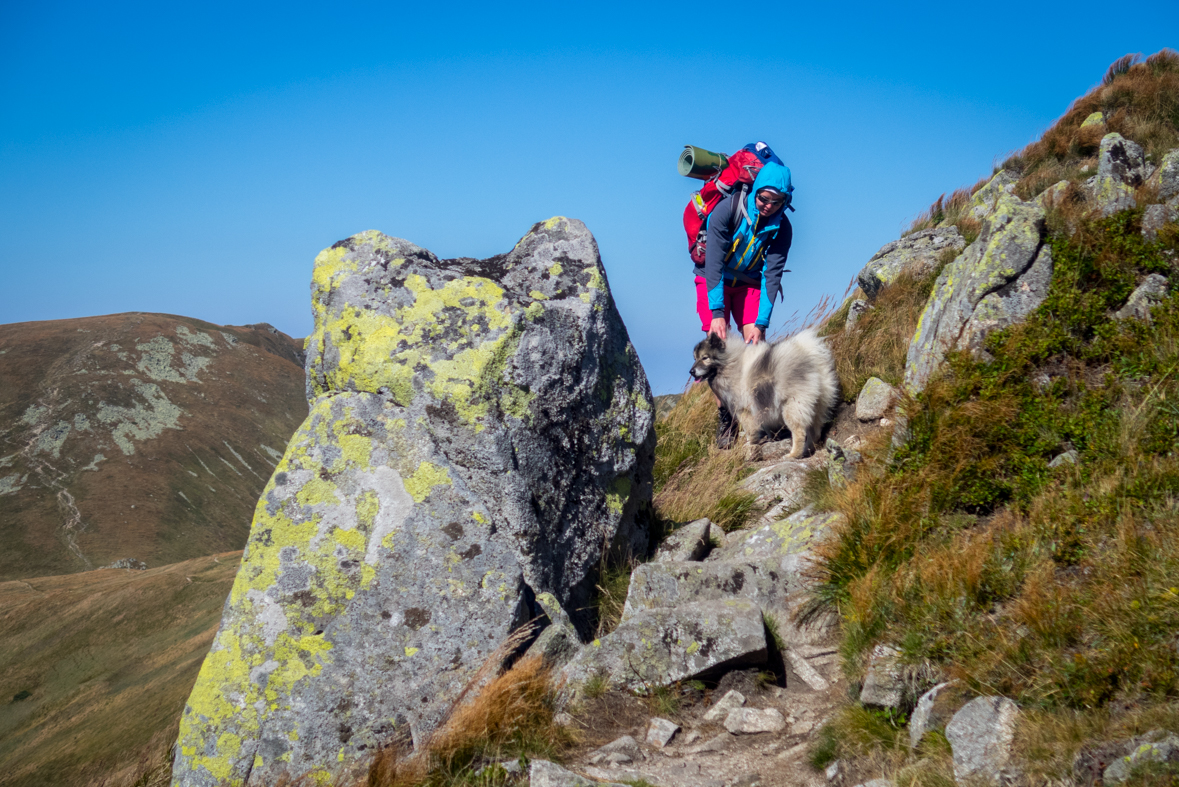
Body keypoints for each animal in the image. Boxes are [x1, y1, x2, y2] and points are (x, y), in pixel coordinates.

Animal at [688, 327, 844, 461]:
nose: (691, 371)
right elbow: (766, 426)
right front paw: (770, 438)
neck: (730, 363)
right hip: (819, 402)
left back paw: (794, 454)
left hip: (792, 406)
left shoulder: (745, 411)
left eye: (705, 358)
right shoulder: (762, 407)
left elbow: (750, 432)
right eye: (694, 358)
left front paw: (750, 444)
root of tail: (810, 353)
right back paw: (809, 449)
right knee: (815, 430)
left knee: (799, 432)